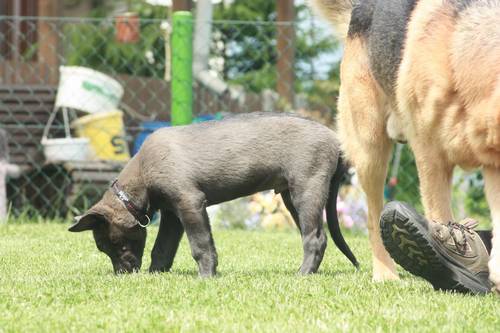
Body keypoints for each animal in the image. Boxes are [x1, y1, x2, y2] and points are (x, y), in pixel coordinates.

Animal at [69, 113, 360, 274]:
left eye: (117, 245)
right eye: (103, 248)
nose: (123, 274)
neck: (143, 172)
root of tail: (336, 140)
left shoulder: (190, 203)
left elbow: (201, 245)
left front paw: (206, 276)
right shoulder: (173, 214)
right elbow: (162, 249)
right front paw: (156, 275)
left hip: (306, 189)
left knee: (315, 239)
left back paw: (302, 274)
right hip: (291, 196)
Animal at [312, 0, 500, 290]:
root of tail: (360, 7)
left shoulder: (493, 162)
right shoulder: (431, 157)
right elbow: (441, 216)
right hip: (370, 150)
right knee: (372, 217)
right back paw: (385, 272)